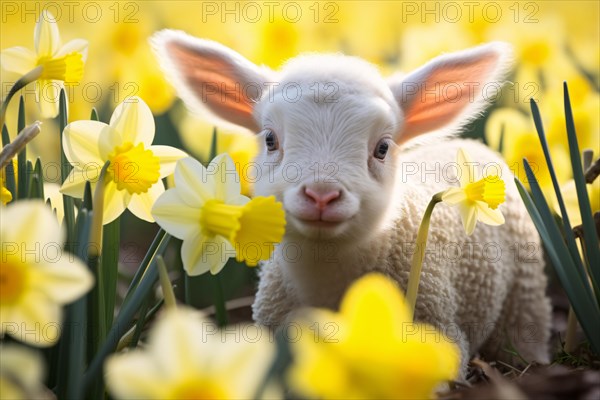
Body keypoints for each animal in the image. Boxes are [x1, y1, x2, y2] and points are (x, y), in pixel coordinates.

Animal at [151, 30, 552, 372]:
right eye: (270, 139)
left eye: (382, 148)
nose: (321, 195)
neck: (327, 274)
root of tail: (472, 144)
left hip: (525, 293)